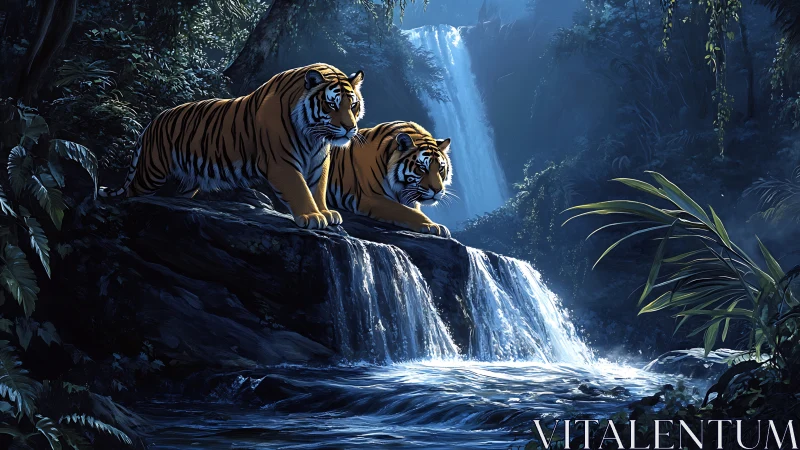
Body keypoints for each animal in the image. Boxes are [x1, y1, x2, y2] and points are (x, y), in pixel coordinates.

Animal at [98, 63, 366, 230]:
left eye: (353, 105)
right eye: (331, 105)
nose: (350, 128)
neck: (314, 137)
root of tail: (152, 121)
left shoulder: (320, 162)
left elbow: (317, 188)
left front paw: (326, 213)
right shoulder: (282, 163)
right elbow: (299, 189)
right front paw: (311, 217)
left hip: (188, 181)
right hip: (151, 172)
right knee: (131, 193)